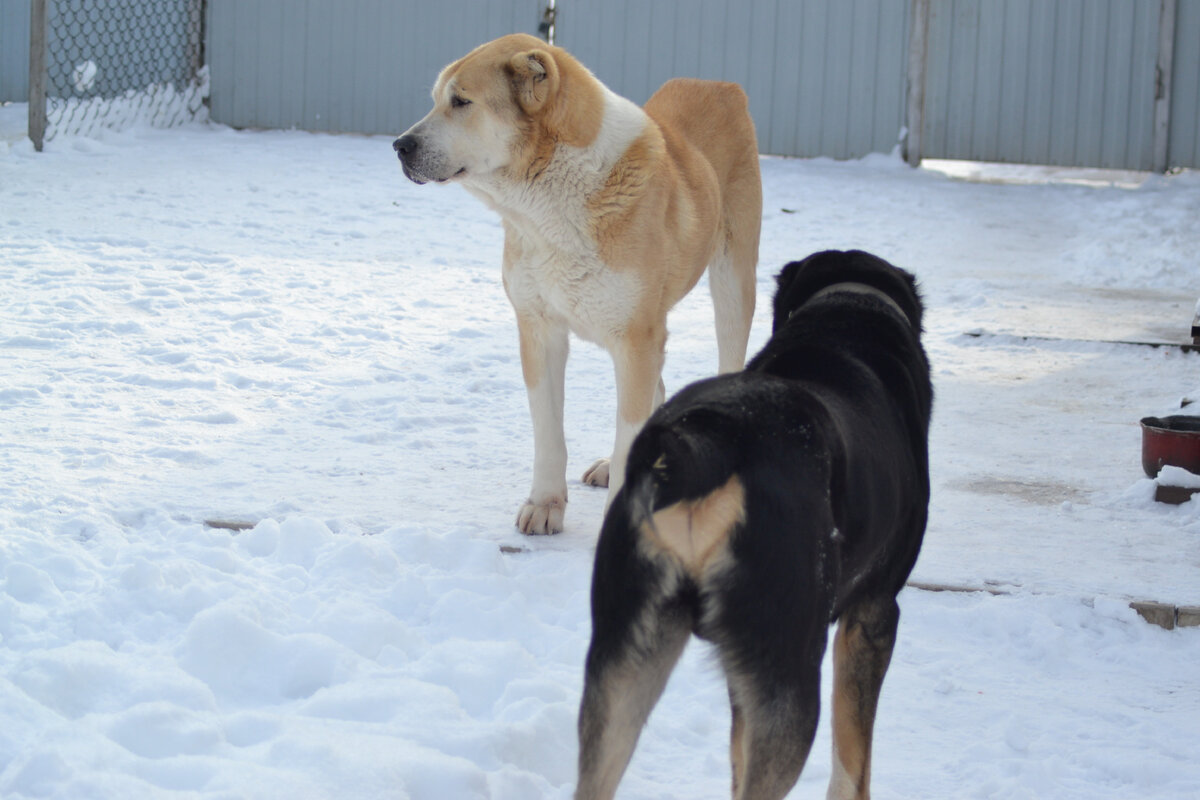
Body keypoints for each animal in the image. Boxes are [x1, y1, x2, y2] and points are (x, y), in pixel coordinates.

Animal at [396, 35, 758, 537]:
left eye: (461, 102)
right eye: (436, 100)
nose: (399, 146)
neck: (549, 201)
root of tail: (719, 85)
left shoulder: (635, 338)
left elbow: (627, 430)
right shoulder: (540, 329)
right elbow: (549, 431)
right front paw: (545, 504)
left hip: (732, 283)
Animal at [576, 250, 931, 800]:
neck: (848, 309)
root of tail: (709, 445)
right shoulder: (873, 616)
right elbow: (852, 762)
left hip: (624, 659)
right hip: (789, 669)